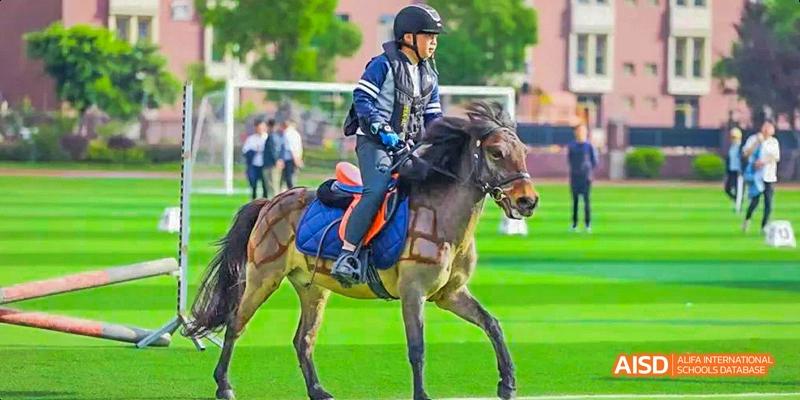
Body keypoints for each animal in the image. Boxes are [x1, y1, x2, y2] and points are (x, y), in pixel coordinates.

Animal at [185, 101, 539, 400]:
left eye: (523, 151)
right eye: (496, 152)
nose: (528, 201)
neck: (442, 218)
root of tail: (272, 201)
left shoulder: (450, 294)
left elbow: (492, 324)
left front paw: (508, 383)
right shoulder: (413, 292)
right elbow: (417, 347)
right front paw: (423, 395)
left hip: (313, 288)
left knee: (303, 339)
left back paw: (318, 391)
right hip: (263, 277)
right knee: (236, 324)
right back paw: (224, 386)